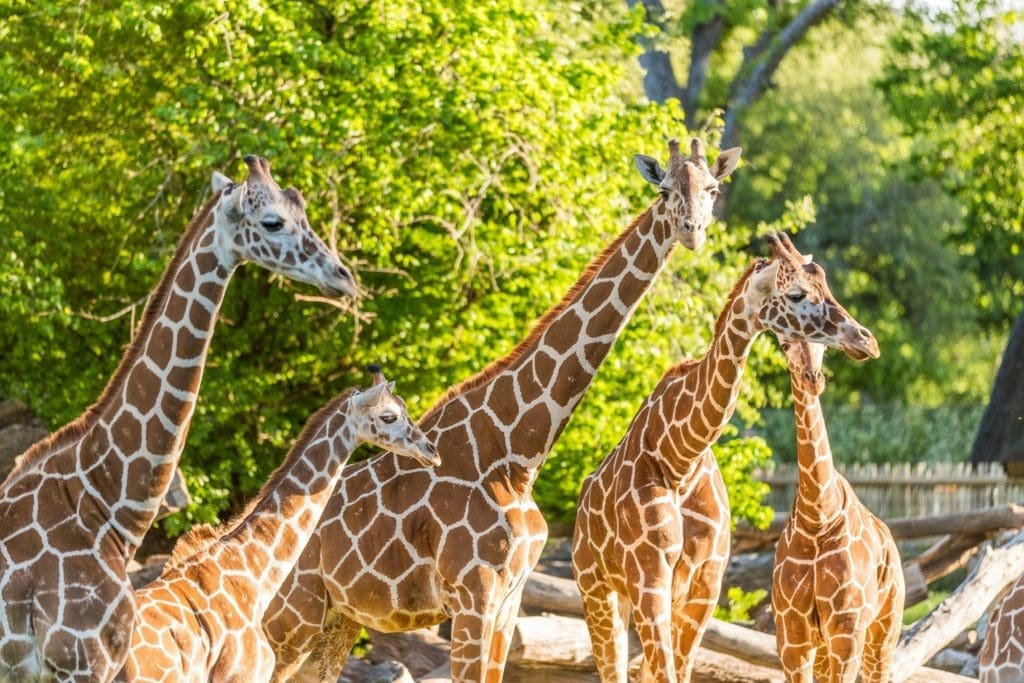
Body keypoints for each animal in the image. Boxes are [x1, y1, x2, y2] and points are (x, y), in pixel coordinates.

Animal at [258, 138, 743, 682]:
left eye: (713, 188)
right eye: (663, 190)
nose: (692, 231)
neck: (518, 451)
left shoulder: (509, 600)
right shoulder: (473, 594)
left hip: (335, 619)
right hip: (290, 615)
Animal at [571, 232, 882, 683]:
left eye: (826, 283)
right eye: (796, 294)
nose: (866, 340)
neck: (680, 456)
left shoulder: (705, 585)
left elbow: (678, 670)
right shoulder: (649, 576)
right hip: (596, 587)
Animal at [771, 339, 903, 683]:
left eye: (824, 345)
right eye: (785, 344)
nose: (813, 378)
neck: (817, 516)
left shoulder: (847, 630)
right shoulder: (792, 635)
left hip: (883, 630)